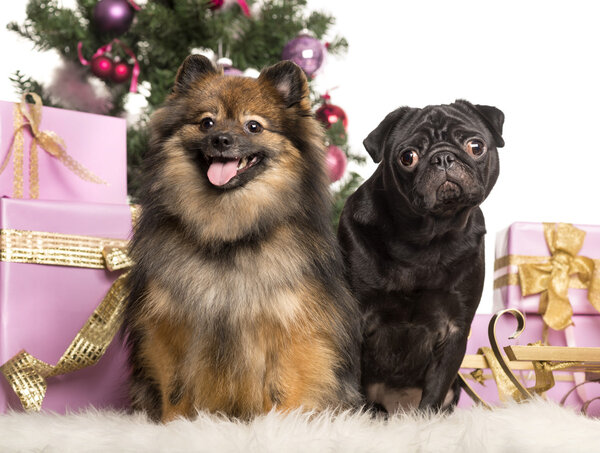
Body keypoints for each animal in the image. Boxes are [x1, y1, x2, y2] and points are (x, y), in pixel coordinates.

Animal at [125, 55, 360, 420]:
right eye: (207, 122)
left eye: (254, 126)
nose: (221, 139)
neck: (229, 233)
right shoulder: (169, 327)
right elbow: (175, 390)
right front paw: (174, 426)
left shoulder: (291, 330)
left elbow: (282, 390)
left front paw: (279, 425)